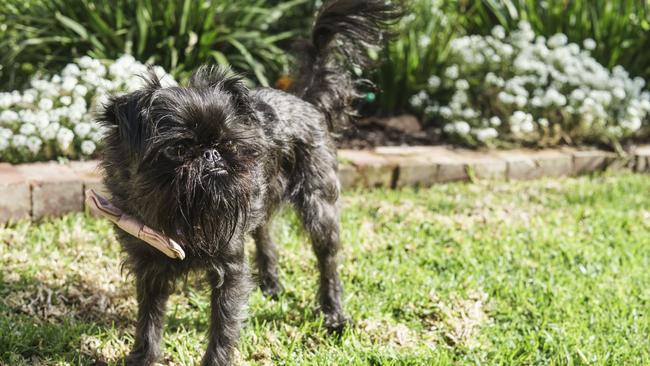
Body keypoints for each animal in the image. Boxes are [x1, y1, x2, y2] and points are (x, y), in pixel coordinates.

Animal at [98, 1, 398, 364]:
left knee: (327, 261)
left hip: (319, 207)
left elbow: (223, 327)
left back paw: (334, 314)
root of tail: (304, 100)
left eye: (229, 142)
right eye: (178, 149)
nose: (212, 154)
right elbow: (149, 319)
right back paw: (270, 283)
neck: (183, 216)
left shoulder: (229, 268)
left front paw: (216, 359)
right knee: (264, 233)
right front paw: (144, 356)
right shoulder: (149, 263)